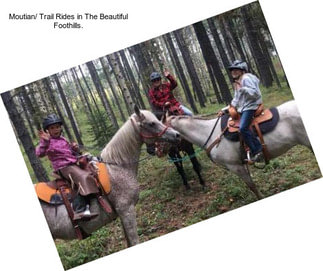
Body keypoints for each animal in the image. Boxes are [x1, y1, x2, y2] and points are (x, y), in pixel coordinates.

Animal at [38, 107, 180, 249]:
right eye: (152, 123)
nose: (177, 135)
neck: (117, 167)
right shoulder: (126, 210)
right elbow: (134, 241)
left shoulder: (122, 213)